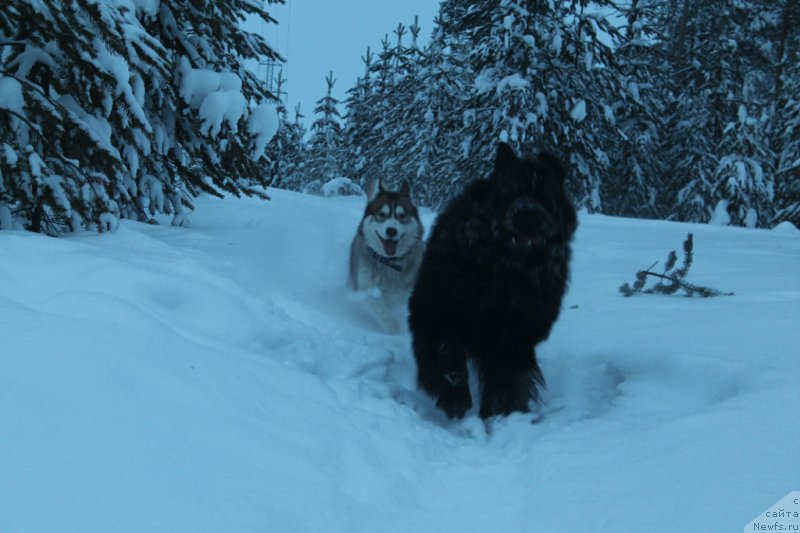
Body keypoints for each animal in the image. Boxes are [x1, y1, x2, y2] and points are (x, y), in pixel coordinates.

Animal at [412, 142, 576, 420]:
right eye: (511, 192)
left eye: (545, 196)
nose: (529, 214)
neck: (504, 271)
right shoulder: (439, 310)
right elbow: (447, 355)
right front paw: (455, 398)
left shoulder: (514, 335)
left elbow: (506, 378)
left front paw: (499, 414)